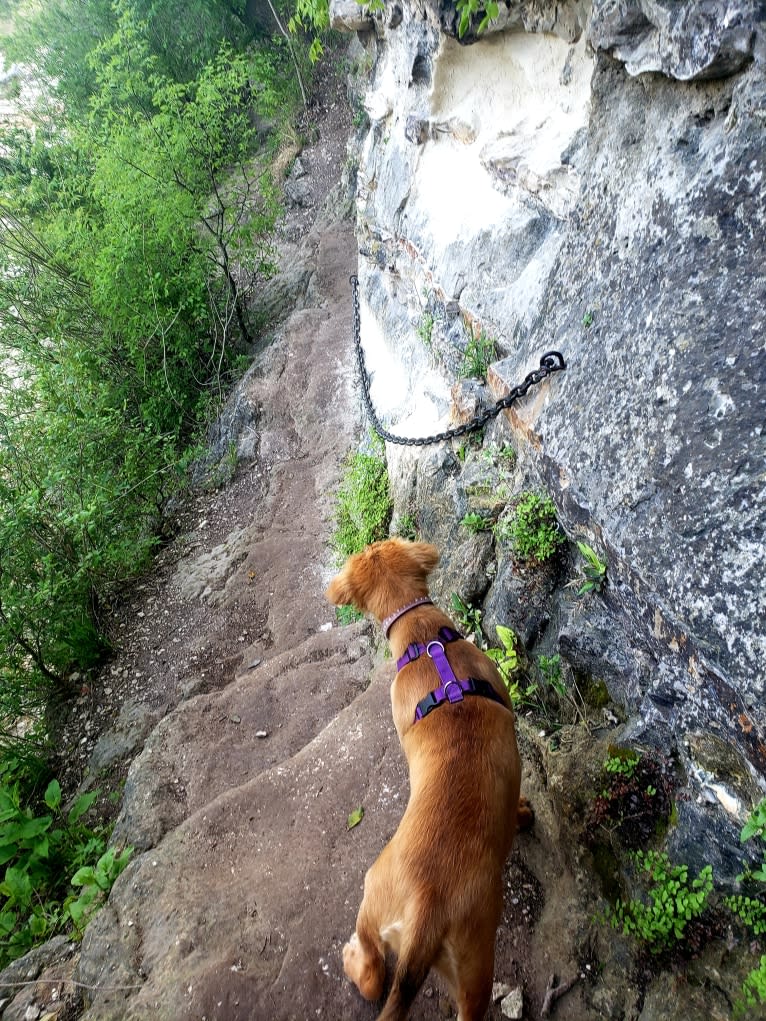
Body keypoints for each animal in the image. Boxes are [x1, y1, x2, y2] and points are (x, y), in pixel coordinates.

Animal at [324, 539, 535, 1016]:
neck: (425, 642)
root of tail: (426, 911)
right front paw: (521, 813)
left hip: (374, 897)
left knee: (371, 971)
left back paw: (354, 960)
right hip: (475, 964)